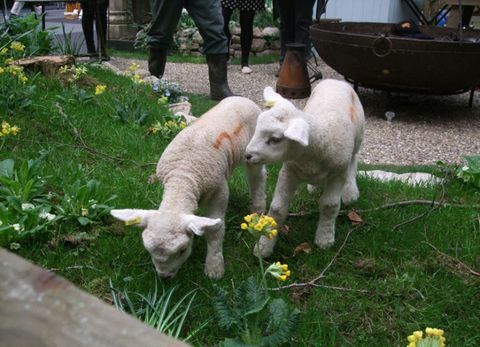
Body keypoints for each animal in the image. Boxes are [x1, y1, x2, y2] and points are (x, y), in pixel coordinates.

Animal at [111, 96, 266, 278]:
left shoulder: (219, 191)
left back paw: (258, 208)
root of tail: (243, 98)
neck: (183, 177)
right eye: (149, 251)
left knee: (257, 177)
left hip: (254, 153)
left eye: (183, 250)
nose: (165, 277)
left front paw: (214, 267)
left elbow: (216, 231)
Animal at [246, 79, 366, 258]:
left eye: (275, 139)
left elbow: (330, 206)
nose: (247, 155)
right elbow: (277, 209)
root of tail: (336, 80)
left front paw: (324, 239)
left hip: (358, 138)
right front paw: (264, 247)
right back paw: (313, 187)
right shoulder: (288, 172)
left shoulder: (337, 174)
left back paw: (350, 191)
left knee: (353, 159)